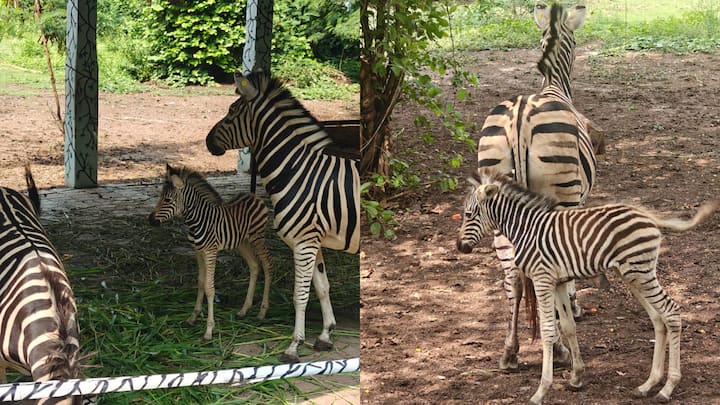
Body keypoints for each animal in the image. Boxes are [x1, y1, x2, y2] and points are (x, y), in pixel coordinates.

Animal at [148, 163, 272, 340]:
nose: (150, 220)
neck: (197, 221)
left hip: (257, 237)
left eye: (167, 200)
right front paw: (192, 317)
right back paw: (243, 310)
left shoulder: (210, 252)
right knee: (254, 266)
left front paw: (208, 330)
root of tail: (252, 195)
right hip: (242, 242)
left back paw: (262, 312)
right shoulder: (198, 252)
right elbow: (200, 282)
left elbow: (209, 287)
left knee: (267, 264)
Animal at [204, 71, 358, 362]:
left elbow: (300, 295)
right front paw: (325, 335)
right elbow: (322, 287)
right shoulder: (313, 242)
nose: (207, 141)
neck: (299, 172)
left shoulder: (303, 244)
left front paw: (294, 346)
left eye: (231, 113)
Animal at [458, 168, 716, 404]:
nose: (460, 247)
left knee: (670, 312)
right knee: (657, 318)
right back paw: (648, 384)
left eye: (469, 214)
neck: (527, 229)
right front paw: (576, 377)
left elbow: (548, 331)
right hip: (633, 275)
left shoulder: (543, 279)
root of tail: (645, 215)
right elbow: (569, 326)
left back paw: (668, 388)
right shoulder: (559, 282)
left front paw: (541, 391)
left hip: (640, 273)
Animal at [472, 0, 596, 370]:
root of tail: (521, 114)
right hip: (562, 192)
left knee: (512, 276)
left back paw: (510, 350)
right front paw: (574, 306)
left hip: (495, 203)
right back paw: (560, 349)